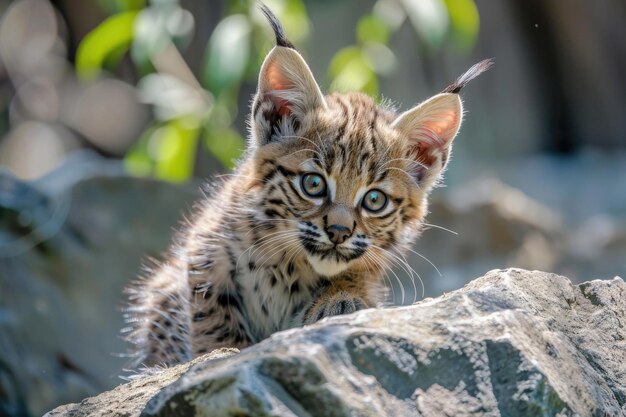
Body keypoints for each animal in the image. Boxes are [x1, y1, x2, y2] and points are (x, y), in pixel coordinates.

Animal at [123, 5, 492, 368]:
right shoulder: (197, 256)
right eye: (313, 184)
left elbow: (358, 277)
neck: (286, 267)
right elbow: (210, 316)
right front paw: (219, 353)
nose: (339, 233)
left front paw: (340, 300)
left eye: (374, 200)